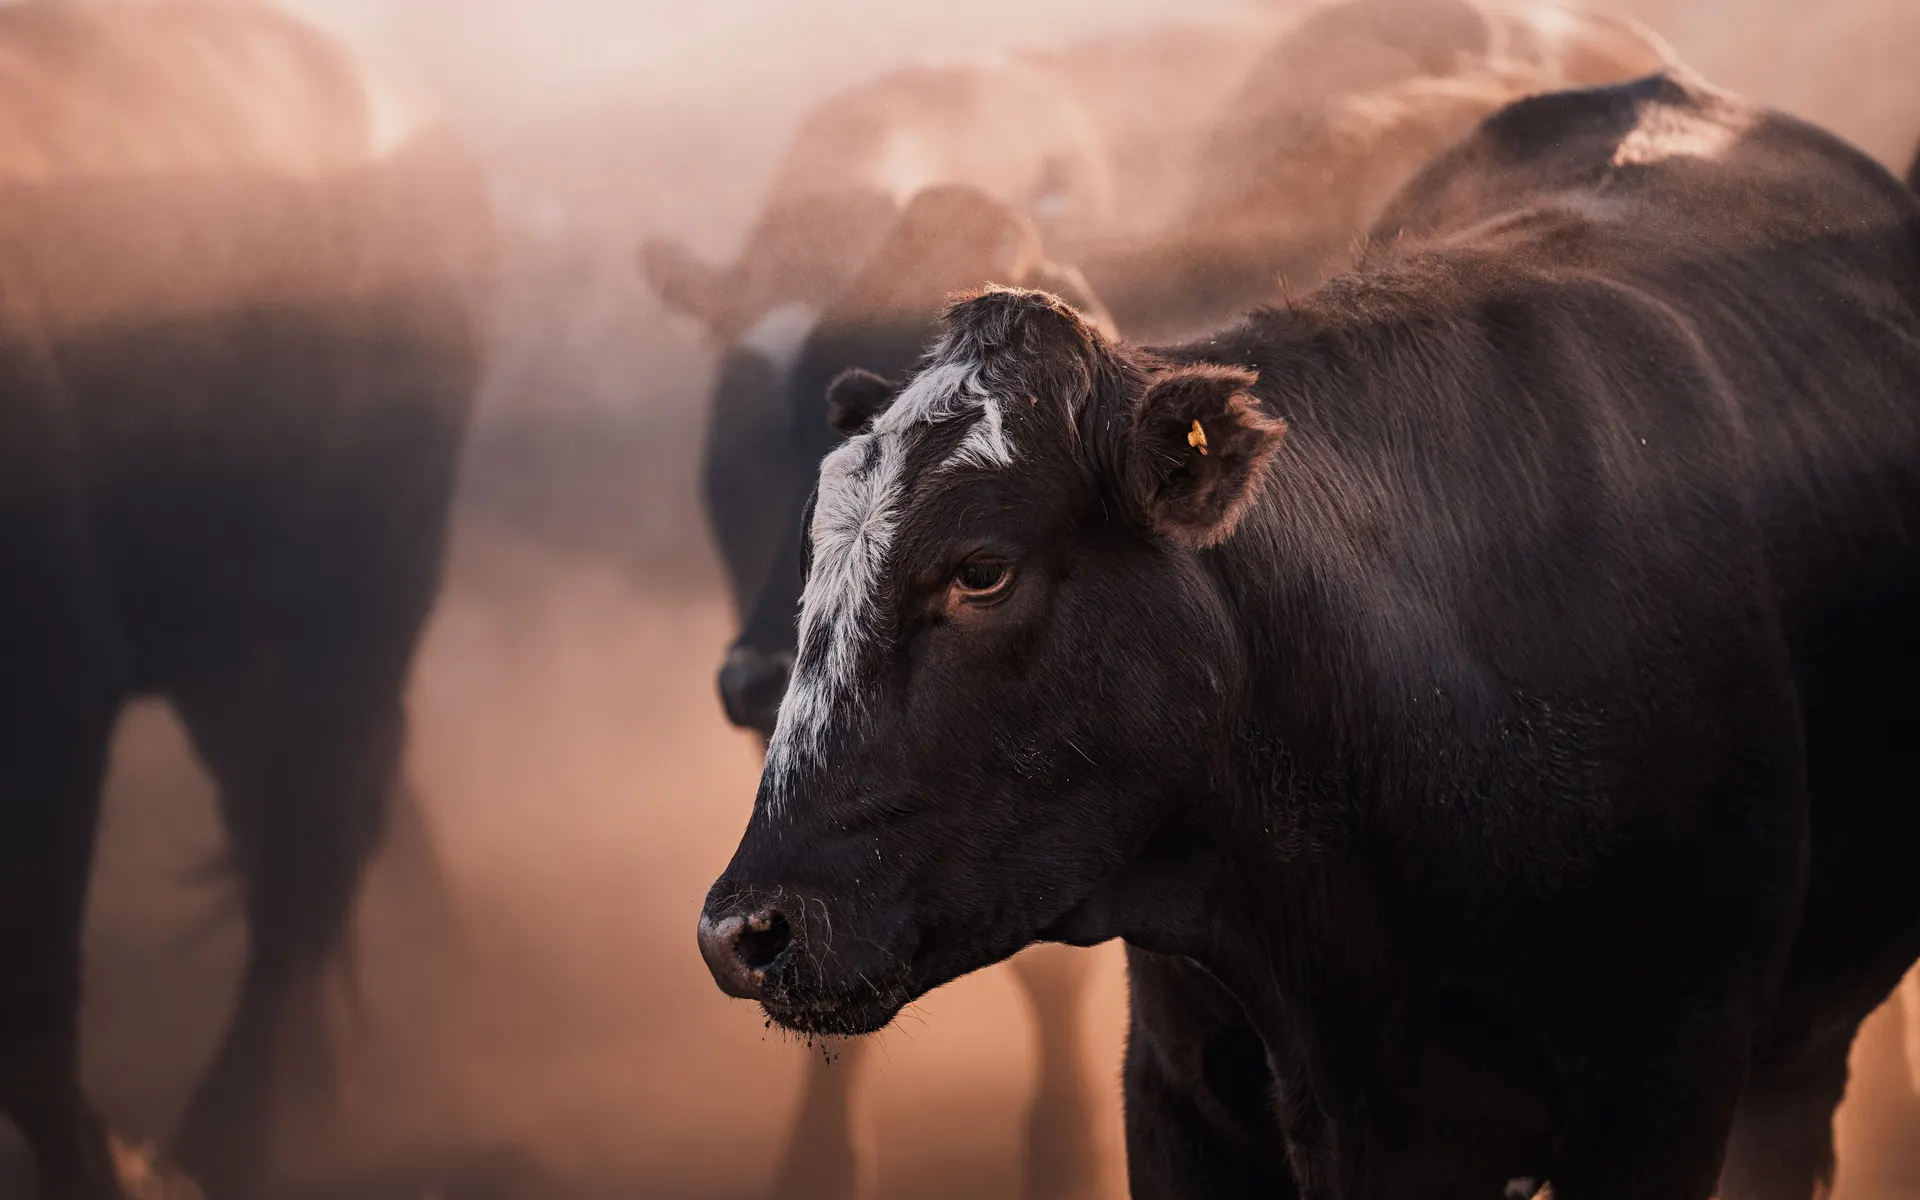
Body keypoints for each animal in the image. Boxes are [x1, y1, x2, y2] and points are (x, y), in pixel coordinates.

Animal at [0, 3, 488, 1198]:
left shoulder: (53, 691)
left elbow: (27, 1019)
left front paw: (112, 1168)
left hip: (363, 595)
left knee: (306, 851)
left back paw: (237, 1135)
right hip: (226, 648)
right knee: (279, 825)